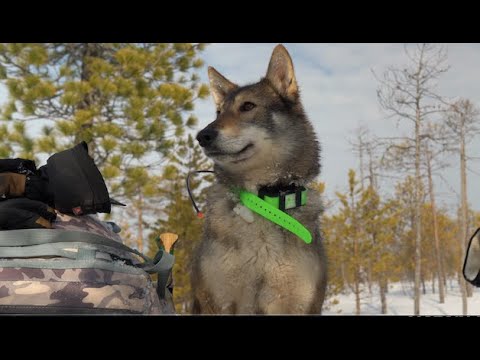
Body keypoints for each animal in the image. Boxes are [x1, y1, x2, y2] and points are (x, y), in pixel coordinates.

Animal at [190, 45, 326, 316]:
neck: (266, 199)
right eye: (218, 112)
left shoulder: (300, 302)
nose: (202, 136)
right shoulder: (218, 300)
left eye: (248, 106)